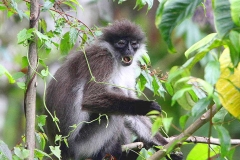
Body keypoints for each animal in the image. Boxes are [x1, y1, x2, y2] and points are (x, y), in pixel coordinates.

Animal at [45, 20, 182, 160]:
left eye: (134, 44)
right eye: (121, 43)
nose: (129, 50)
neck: (115, 58)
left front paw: (166, 146)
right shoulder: (103, 60)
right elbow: (91, 99)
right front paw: (146, 107)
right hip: (81, 146)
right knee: (113, 111)